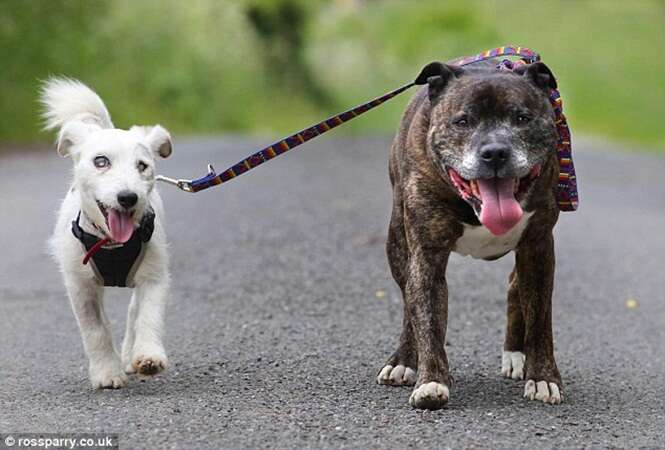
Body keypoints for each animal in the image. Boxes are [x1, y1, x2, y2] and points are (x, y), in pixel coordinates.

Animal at [40, 79, 172, 388]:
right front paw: (106, 373)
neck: (111, 244)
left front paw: (149, 356)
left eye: (142, 165)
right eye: (101, 161)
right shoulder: (81, 286)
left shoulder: (155, 277)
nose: (128, 197)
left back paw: (130, 355)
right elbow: (96, 330)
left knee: (134, 312)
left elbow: (148, 315)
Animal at [376, 59, 564, 408]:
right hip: (397, 244)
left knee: (516, 287)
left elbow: (541, 319)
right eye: (463, 121)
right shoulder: (427, 254)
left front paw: (544, 378)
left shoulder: (539, 248)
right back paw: (403, 361)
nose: (495, 152)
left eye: (522, 118)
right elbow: (427, 315)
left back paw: (515, 354)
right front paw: (431, 381)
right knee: (409, 299)